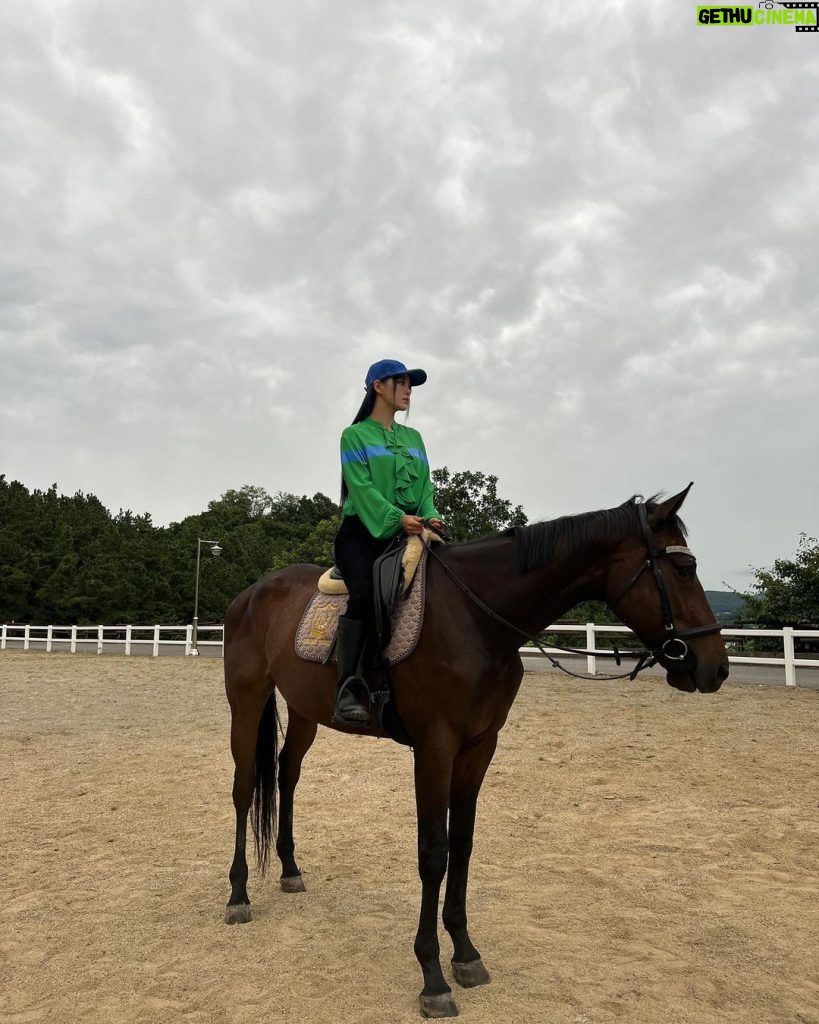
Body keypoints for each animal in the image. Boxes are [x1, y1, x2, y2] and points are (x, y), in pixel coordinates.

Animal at [221, 485, 724, 1015]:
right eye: (684, 568)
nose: (716, 667)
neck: (477, 620)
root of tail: (250, 594)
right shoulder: (435, 748)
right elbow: (433, 852)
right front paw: (432, 977)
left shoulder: (479, 747)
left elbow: (462, 844)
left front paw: (464, 953)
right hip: (247, 699)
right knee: (244, 787)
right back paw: (238, 895)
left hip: (304, 710)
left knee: (287, 773)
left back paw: (290, 869)